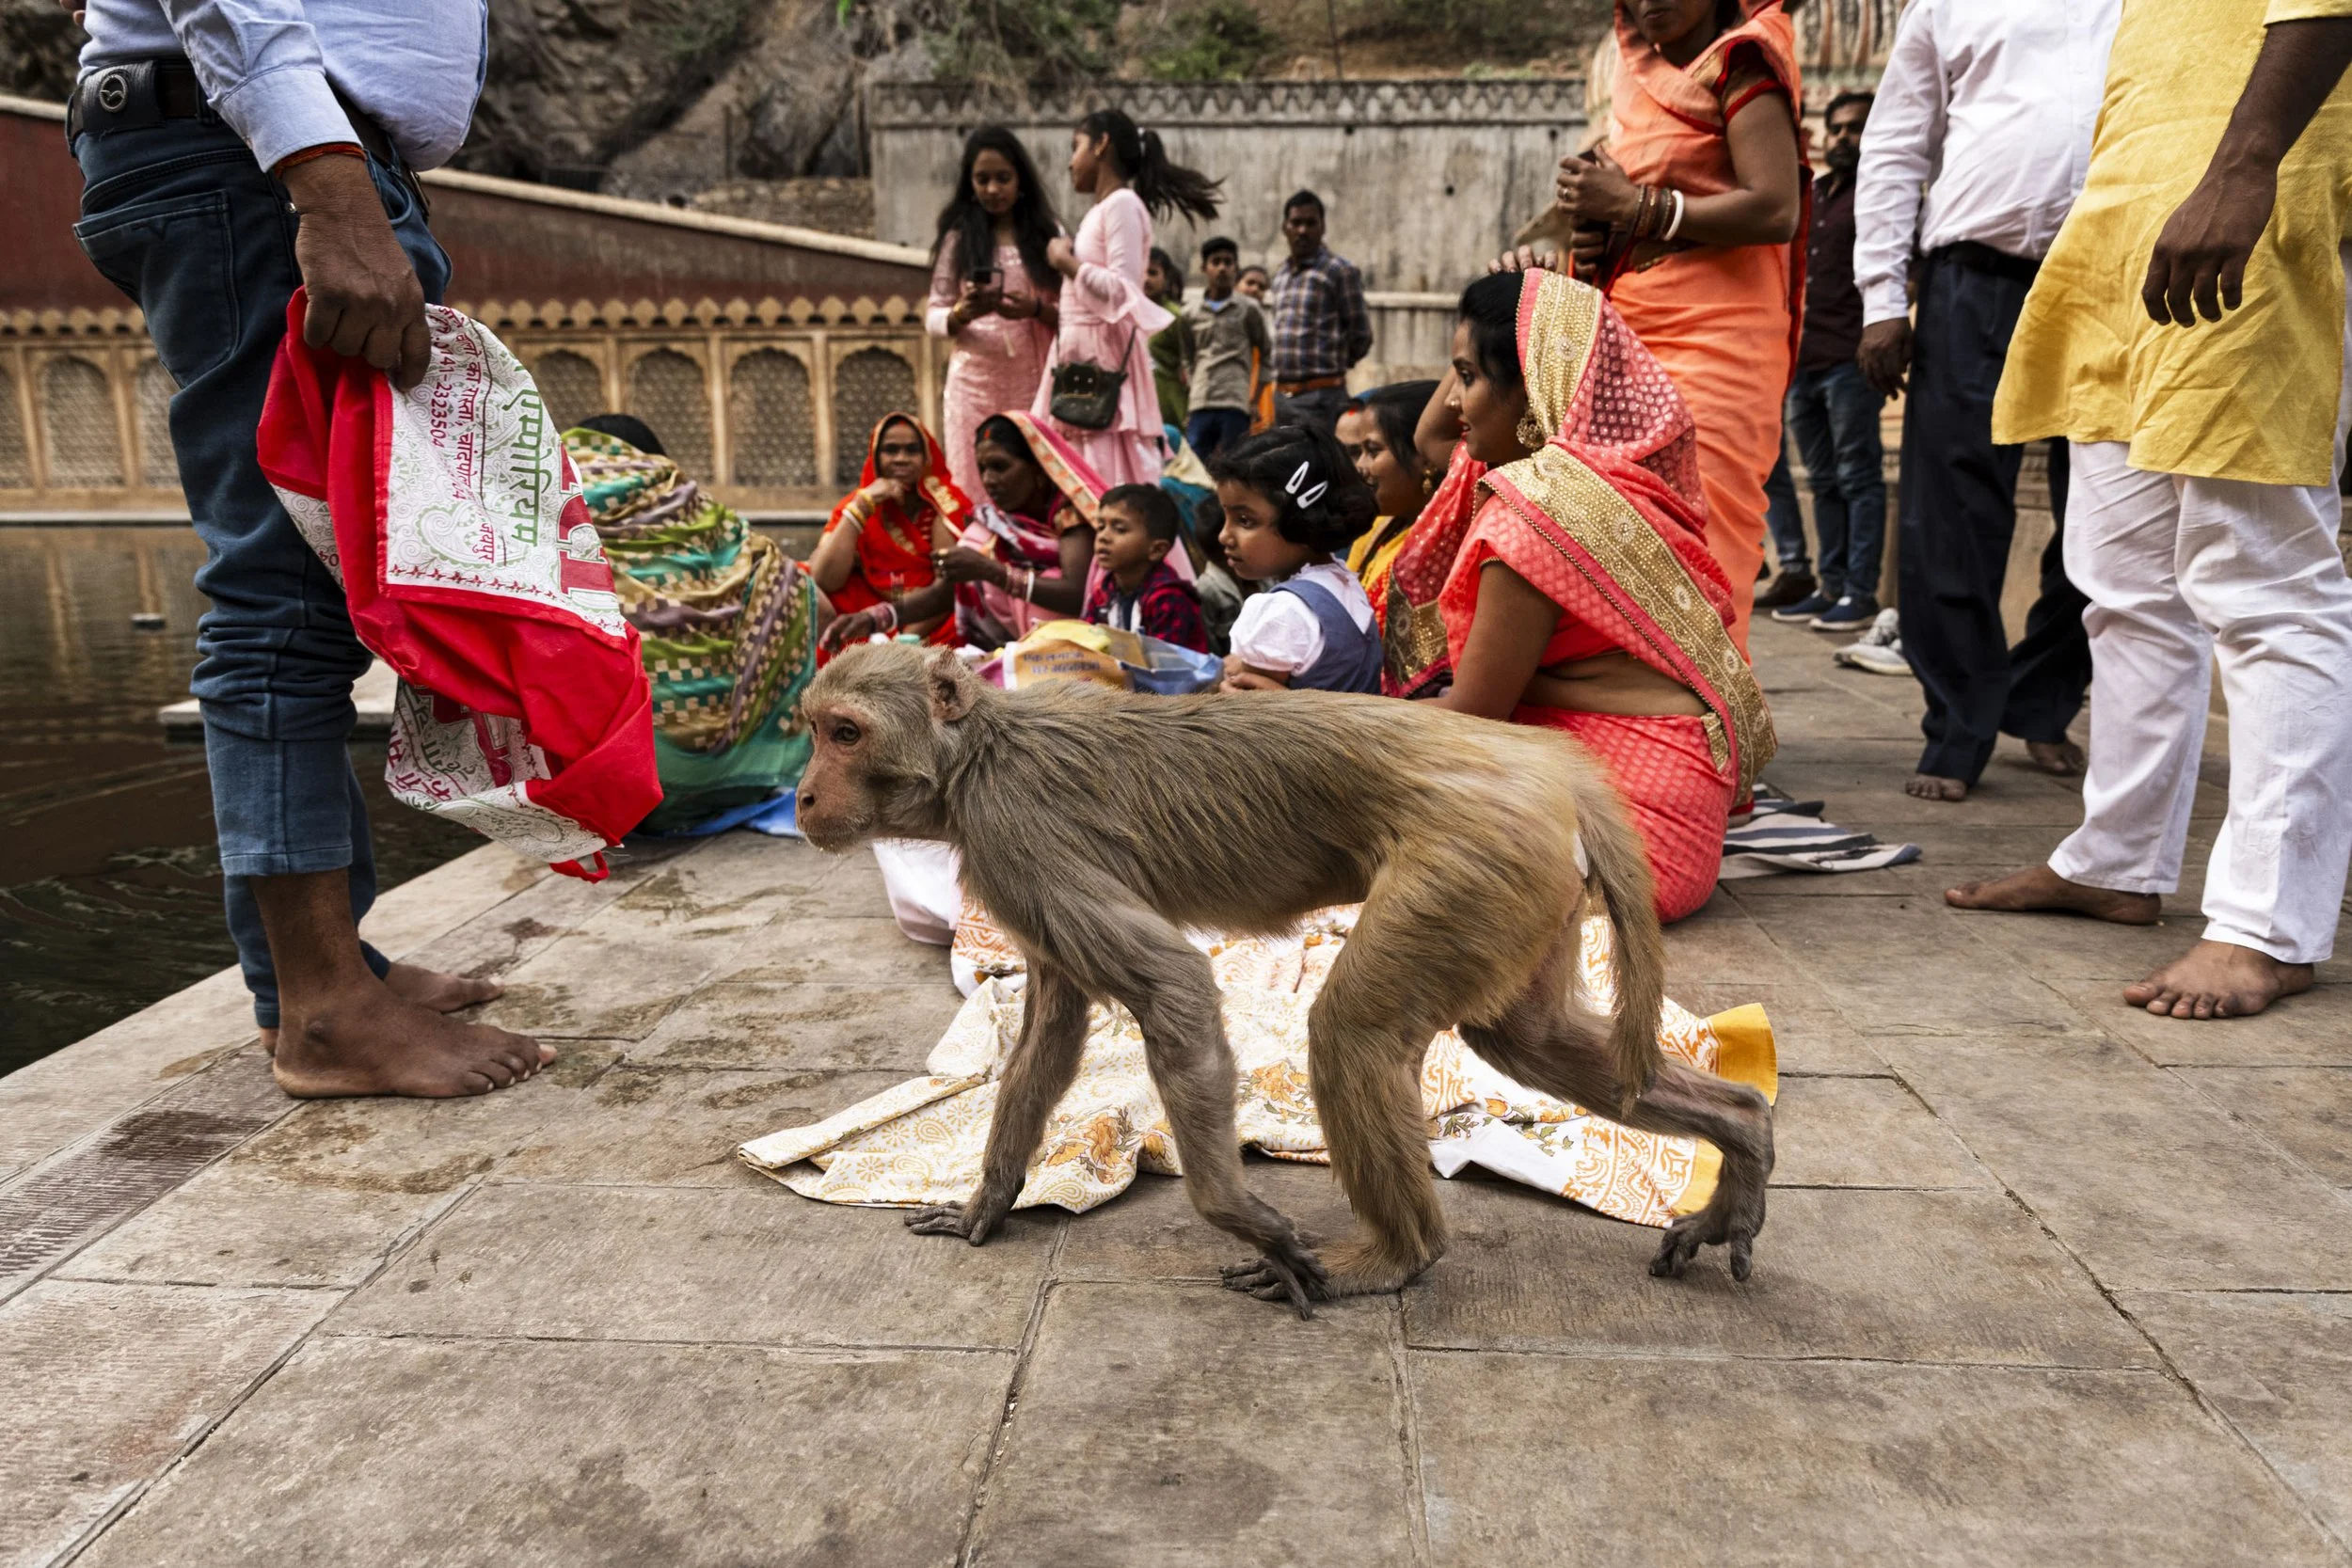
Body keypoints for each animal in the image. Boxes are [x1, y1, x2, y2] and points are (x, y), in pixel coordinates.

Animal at [794, 641, 1773, 1316]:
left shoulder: (1013, 833)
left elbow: (1175, 984)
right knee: (1525, 1042)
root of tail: (1543, 761)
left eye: (845, 733)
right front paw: (986, 1202)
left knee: (1352, 1034)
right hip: (1522, 882)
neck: (977, 753)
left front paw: (1239, 1212)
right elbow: (1054, 1027)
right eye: (814, 730)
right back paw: (1743, 1129)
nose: (803, 795)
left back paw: (1396, 1256)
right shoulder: (1013, 864)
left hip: (1470, 859)